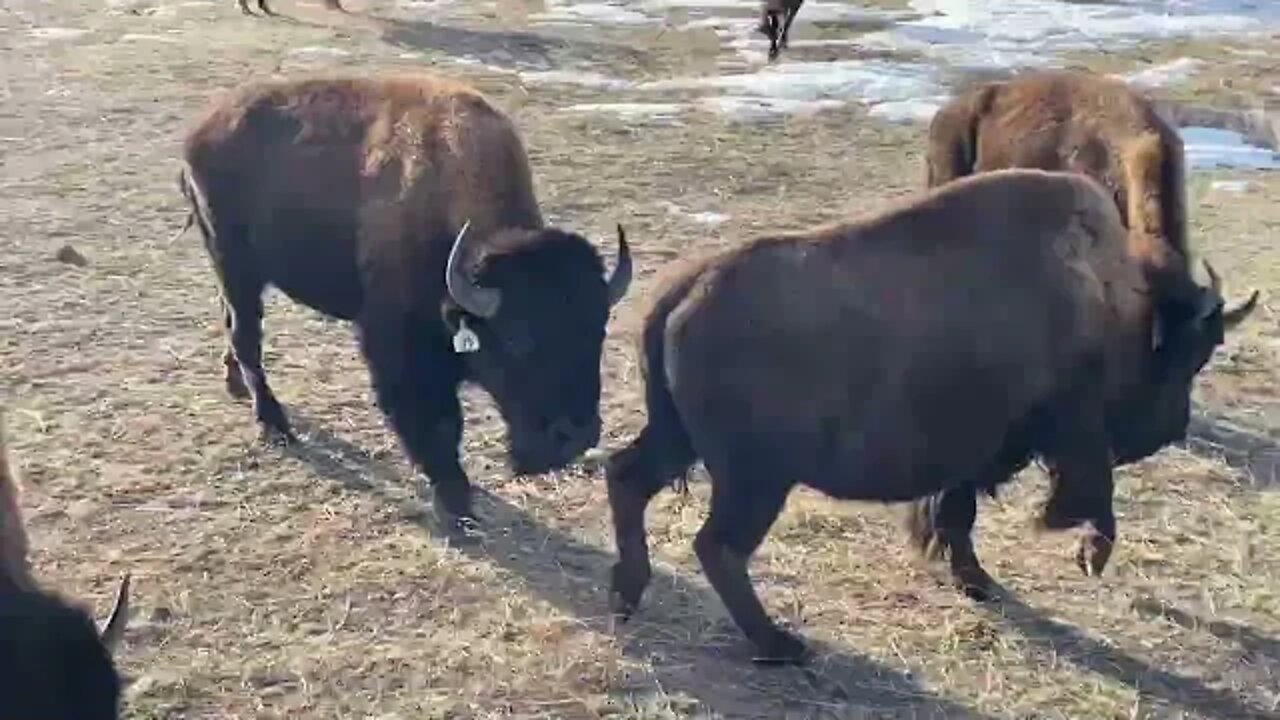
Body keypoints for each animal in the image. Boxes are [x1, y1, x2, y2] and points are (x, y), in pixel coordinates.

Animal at [178, 73, 633, 529]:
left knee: (233, 324)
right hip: (235, 264)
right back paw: (275, 425)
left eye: (599, 330)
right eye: (517, 339)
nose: (576, 436)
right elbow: (437, 421)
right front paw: (455, 503)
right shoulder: (398, 348)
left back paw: (236, 384)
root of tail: (203, 127)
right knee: (246, 335)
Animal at [604, 168, 1257, 664]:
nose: (1171, 427)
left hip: (681, 441)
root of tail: (688, 289)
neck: (1105, 296)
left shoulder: (975, 453)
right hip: (755, 478)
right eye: (1185, 358)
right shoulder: (1067, 433)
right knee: (718, 545)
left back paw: (627, 595)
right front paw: (1080, 551)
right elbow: (1091, 495)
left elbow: (956, 512)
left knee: (627, 478)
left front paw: (976, 580)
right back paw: (780, 645)